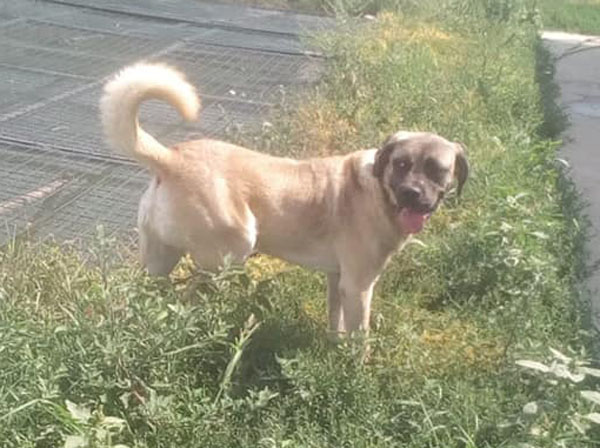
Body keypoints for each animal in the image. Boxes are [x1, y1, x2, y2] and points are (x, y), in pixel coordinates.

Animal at [100, 63, 468, 336]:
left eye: (436, 170)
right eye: (401, 164)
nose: (412, 193)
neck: (379, 189)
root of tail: (171, 158)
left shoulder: (338, 281)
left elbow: (335, 324)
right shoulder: (359, 286)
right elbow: (359, 338)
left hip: (159, 262)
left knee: (149, 298)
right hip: (232, 251)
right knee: (189, 297)